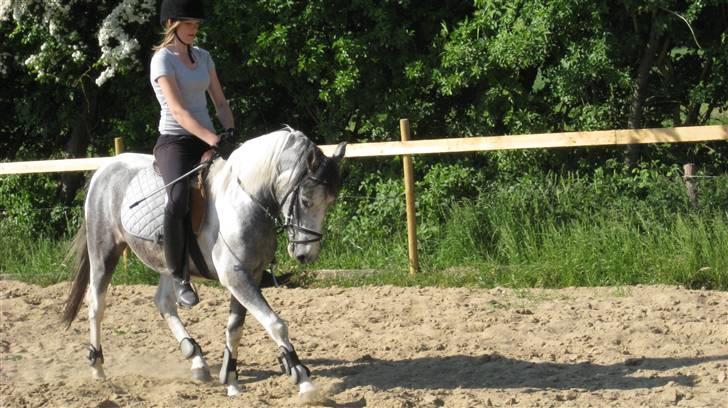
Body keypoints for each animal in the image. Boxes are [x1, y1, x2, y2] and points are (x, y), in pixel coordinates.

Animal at [61, 128, 346, 402]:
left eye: (330, 202)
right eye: (306, 201)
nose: (306, 255)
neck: (245, 201)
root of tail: (105, 169)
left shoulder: (249, 275)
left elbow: (235, 328)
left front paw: (230, 381)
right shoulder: (236, 276)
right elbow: (276, 324)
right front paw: (304, 381)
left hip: (168, 264)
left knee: (164, 302)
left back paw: (196, 359)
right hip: (104, 251)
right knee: (96, 305)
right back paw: (97, 367)